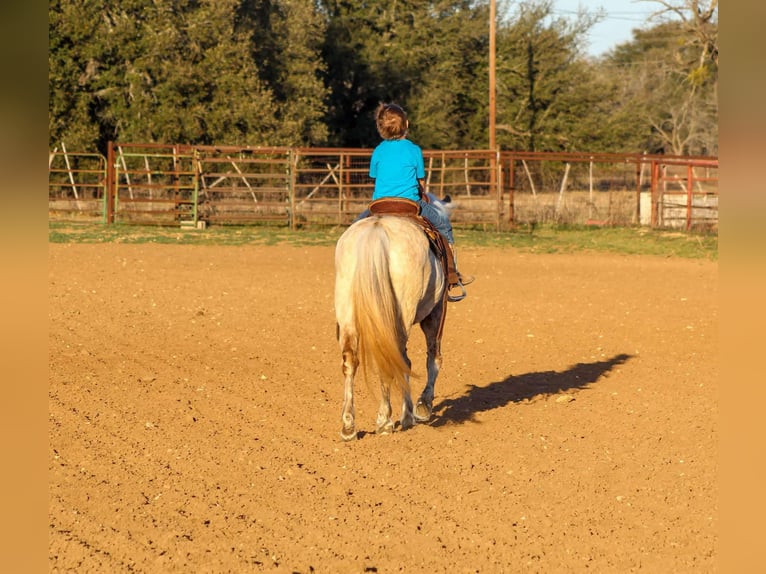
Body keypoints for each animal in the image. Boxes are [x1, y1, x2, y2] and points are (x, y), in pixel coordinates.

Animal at [334, 195, 453, 440]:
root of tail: (377, 231)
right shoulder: (436, 311)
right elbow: (432, 357)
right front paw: (419, 408)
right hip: (404, 315)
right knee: (397, 360)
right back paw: (385, 421)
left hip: (348, 312)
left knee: (350, 361)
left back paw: (348, 426)